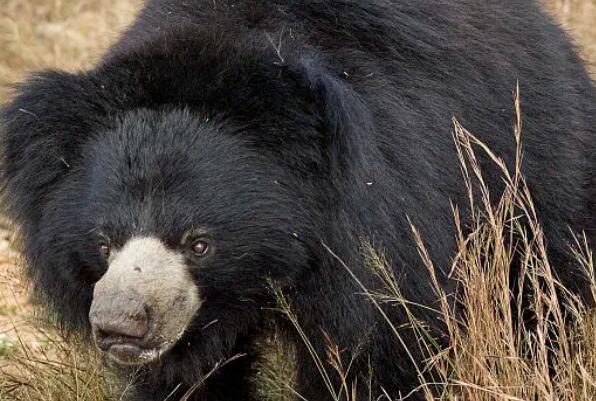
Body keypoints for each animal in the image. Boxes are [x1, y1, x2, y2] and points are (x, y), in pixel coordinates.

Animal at [1, 0, 596, 400]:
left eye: (199, 244)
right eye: (104, 242)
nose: (120, 327)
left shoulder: (381, 227)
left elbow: (372, 349)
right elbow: (187, 376)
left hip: (534, 175)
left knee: (546, 293)